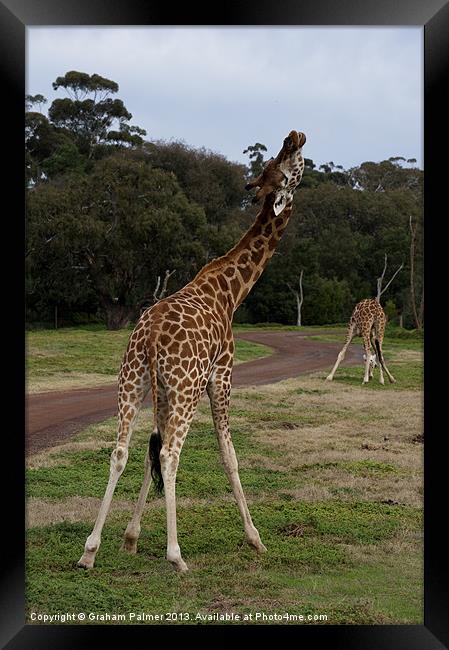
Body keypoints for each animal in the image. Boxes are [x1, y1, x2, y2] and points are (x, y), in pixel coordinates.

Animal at [77, 129, 306, 568]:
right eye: (288, 161)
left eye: (277, 162)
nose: (295, 136)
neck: (231, 292)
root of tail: (149, 336)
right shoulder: (221, 376)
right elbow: (228, 455)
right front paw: (256, 539)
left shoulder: (166, 390)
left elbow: (148, 455)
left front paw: (129, 538)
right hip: (183, 389)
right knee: (170, 455)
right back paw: (176, 555)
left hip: (132, 381)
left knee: (122, 451)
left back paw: (89, 551)